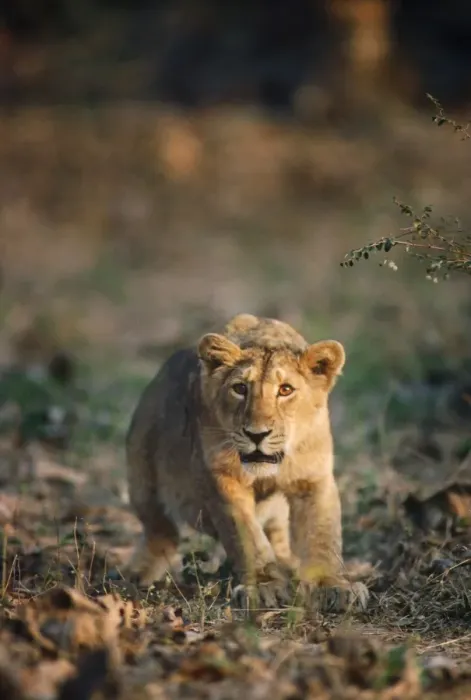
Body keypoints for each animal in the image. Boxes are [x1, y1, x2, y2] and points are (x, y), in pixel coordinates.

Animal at [125, 313, 368, 611]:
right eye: (240, 388)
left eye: (285, 390)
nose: (256, 434)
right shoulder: (223, 479)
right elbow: (247, 537)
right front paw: (264, 586)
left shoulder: (313, 478)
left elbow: (322, 534)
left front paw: (332, 585)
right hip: (142, 474)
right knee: (160, 530)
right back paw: (140, 573)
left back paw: (287, 563)